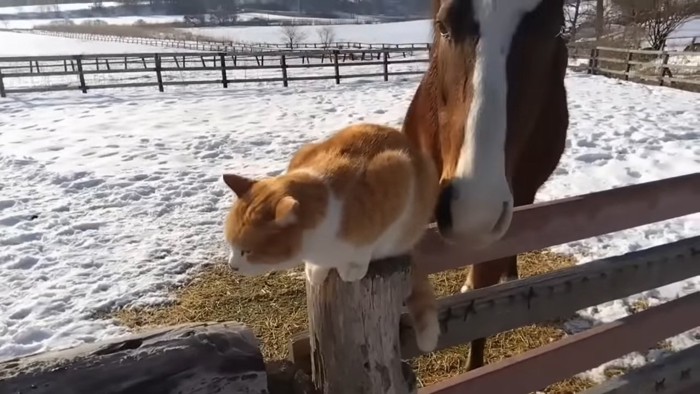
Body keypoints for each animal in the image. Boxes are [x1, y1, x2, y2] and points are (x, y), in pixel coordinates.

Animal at [221, 122, 440, 350]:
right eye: (231, 245)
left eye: (247, 251)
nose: (232, 266)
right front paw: (316, 269)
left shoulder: (395, 172)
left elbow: (367, 242)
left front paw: (352, 266)